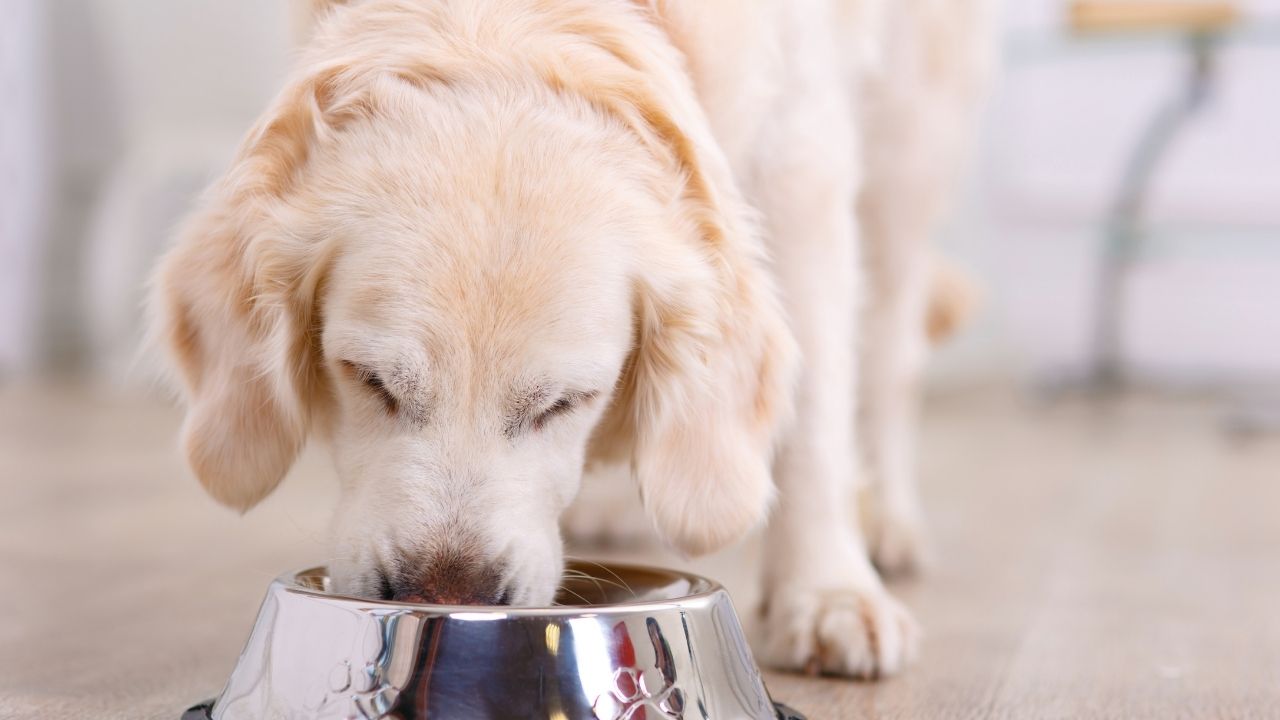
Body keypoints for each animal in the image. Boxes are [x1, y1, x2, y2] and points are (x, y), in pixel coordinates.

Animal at [147, 0, 988, 676]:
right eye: (369, 379)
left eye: (565, 402)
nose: (447, 595)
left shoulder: (801, 160)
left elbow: (813, 415)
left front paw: (827, 593)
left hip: (909, 139)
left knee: (889, 351)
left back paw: (887, 522)